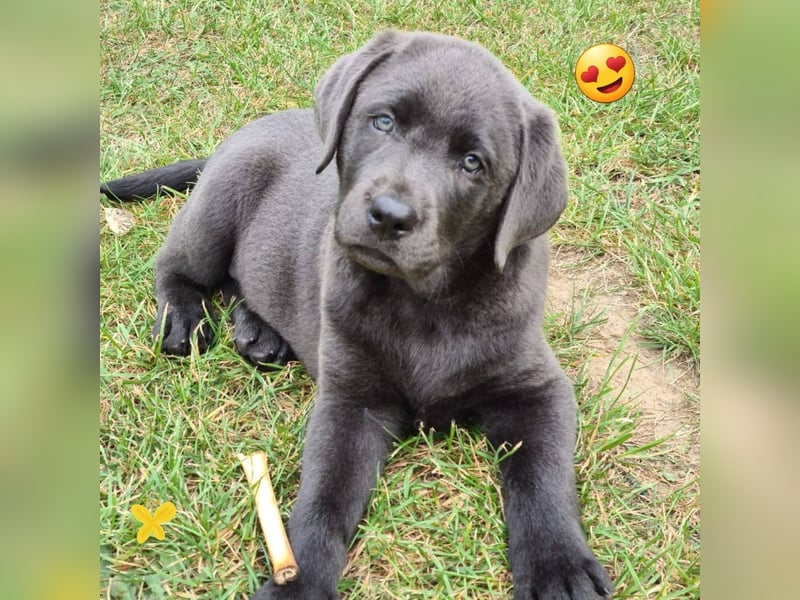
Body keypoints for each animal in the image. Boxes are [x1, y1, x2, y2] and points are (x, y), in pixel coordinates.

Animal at [100, 29, 612, 600]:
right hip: (218, 203)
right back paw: (183, 321)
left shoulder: (537, 388)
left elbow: (543, 476)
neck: (425, 303)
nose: (389, 215)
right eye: (383, 121)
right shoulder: (351, 399)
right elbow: (326, 493)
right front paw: (298, 584)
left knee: (241, 281)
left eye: (472, 162)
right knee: (177, 266)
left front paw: (558, 566)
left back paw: (259, 332)